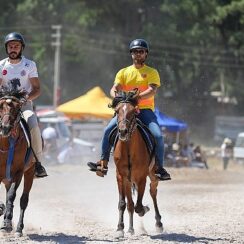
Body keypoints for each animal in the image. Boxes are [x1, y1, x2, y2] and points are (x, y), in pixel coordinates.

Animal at [111, 88, 164, 237]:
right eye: (117, 111)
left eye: (133, 111)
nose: (123, 131)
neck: (129, 148)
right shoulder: (121, 177)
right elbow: (124, 203)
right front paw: (120, 228)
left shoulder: (141, 178)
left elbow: (139, 206)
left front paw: (145, 209)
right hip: (129, 181)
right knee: (130, 203)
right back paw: (131, 228)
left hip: (152, 175)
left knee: (153, 192)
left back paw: (158, 223)